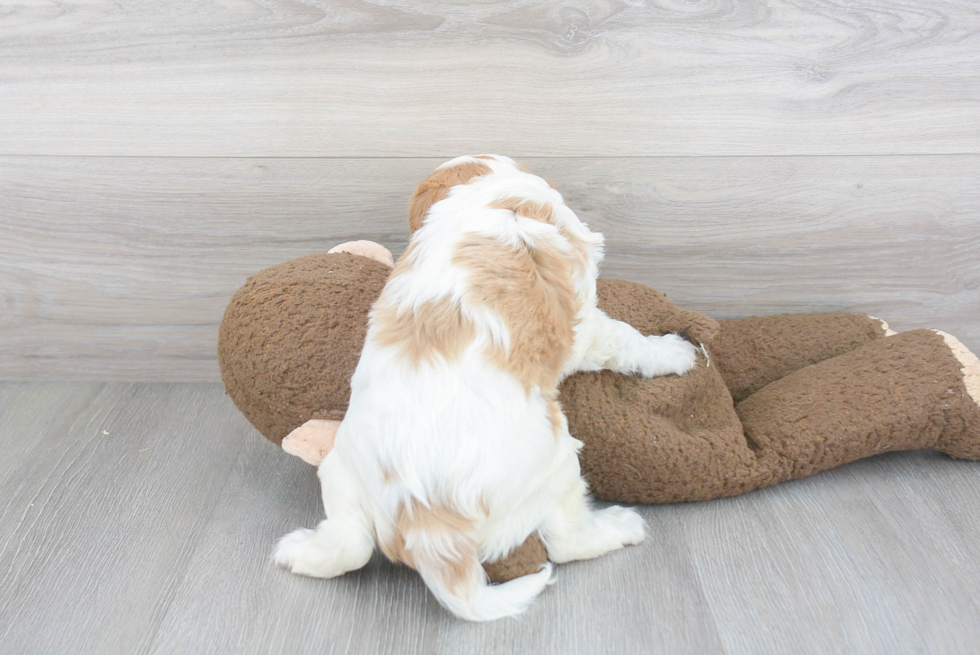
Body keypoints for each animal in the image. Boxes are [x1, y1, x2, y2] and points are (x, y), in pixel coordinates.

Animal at [274, 156, 696, 624]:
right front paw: (675, 353)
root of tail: (428, 524)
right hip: (557, 465)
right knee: (565, 540)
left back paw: (296, 552)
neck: (492, 196)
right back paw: (621, 527)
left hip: (340, 472)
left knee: (350, 547)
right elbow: (625, 339)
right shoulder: (586, 324)